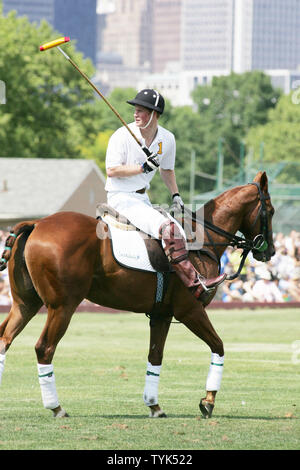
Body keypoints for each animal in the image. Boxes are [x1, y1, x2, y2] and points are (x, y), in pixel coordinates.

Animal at [0, 172, 274, 418]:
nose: (269, 251)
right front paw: (208, 401)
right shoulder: (190, 311)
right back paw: (56, 407)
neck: (203, 242)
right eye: (270, 211)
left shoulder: (162, 315)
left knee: (5, 338)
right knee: (44, 348)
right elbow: (219, 346)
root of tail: (36, 224)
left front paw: (154, 405)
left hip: (25, 303)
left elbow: (155, 356)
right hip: (62, 306)